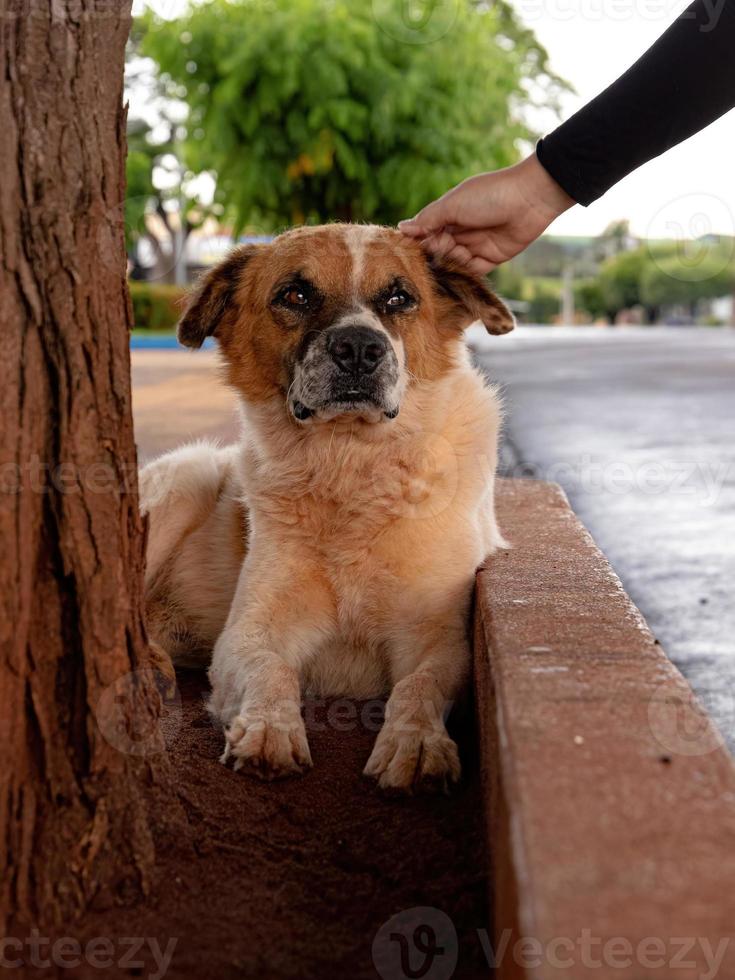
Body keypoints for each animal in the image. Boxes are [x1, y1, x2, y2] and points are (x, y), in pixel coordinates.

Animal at [141, 222, 516, 788]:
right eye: (295, 295)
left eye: (399, 298)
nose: (359, 347)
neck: (350, 467)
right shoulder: (248, 634)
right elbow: (271, 670)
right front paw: (270, 729)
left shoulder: (438, 639)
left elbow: (421, 684)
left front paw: (417, 743)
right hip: (189, 477)